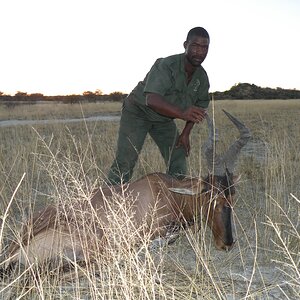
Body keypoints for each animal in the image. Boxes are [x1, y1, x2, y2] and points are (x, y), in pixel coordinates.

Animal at [1, 110, 251, 272]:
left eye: (232, 196)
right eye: (210, 195)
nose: (227, 244)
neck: (165, 189)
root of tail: (13, 250)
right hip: (95, 243)